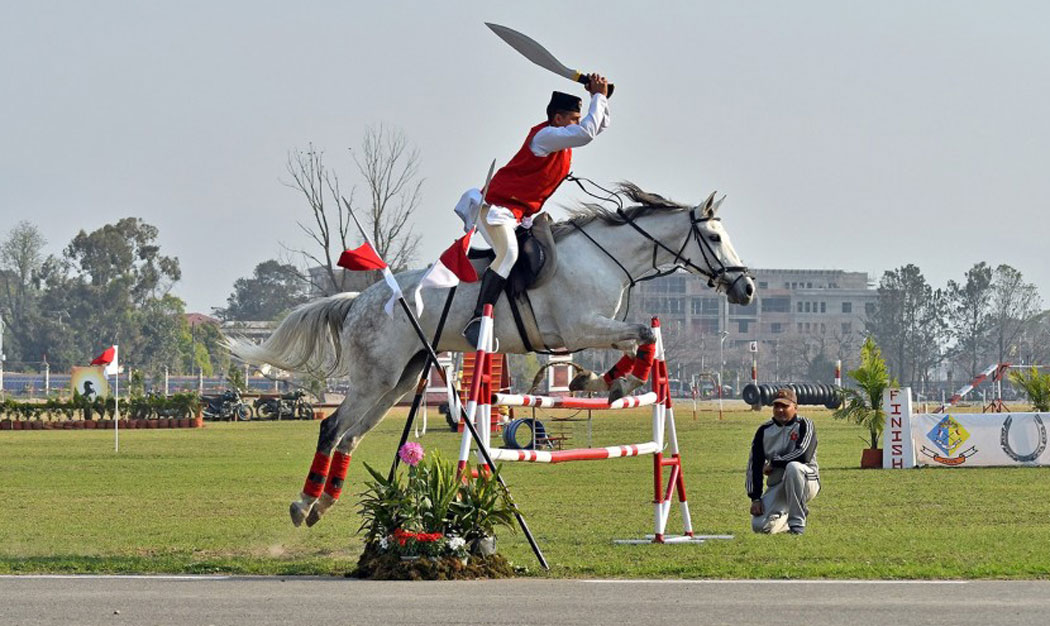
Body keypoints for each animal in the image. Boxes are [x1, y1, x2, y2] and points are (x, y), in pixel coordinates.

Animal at [229, 183, 755, 525]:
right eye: (713, 238)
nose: (747, 288)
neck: (608, 257)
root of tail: (360, 299)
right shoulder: (581, 326)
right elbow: (641, 335)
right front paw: (608, 382)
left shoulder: (597, 330)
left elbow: (638, 341)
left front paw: (602, 383)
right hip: (375, 377)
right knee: (332, 428)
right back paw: (303, 505)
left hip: (400, 379)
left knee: (350, 437)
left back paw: (323, 504)